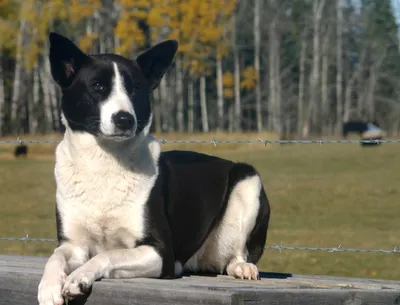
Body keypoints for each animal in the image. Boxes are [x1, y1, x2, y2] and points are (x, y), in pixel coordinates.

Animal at [37, 32, 270, 304]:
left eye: (135, 89)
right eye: (97, 86)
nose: (124, 119)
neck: (104, 162)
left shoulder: (160, 252)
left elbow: (109, 254)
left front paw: (78, 277)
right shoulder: (73, 244)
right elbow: (55, 257)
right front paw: (49, 287)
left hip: (248, 181)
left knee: (239, 253)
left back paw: (242, 267)